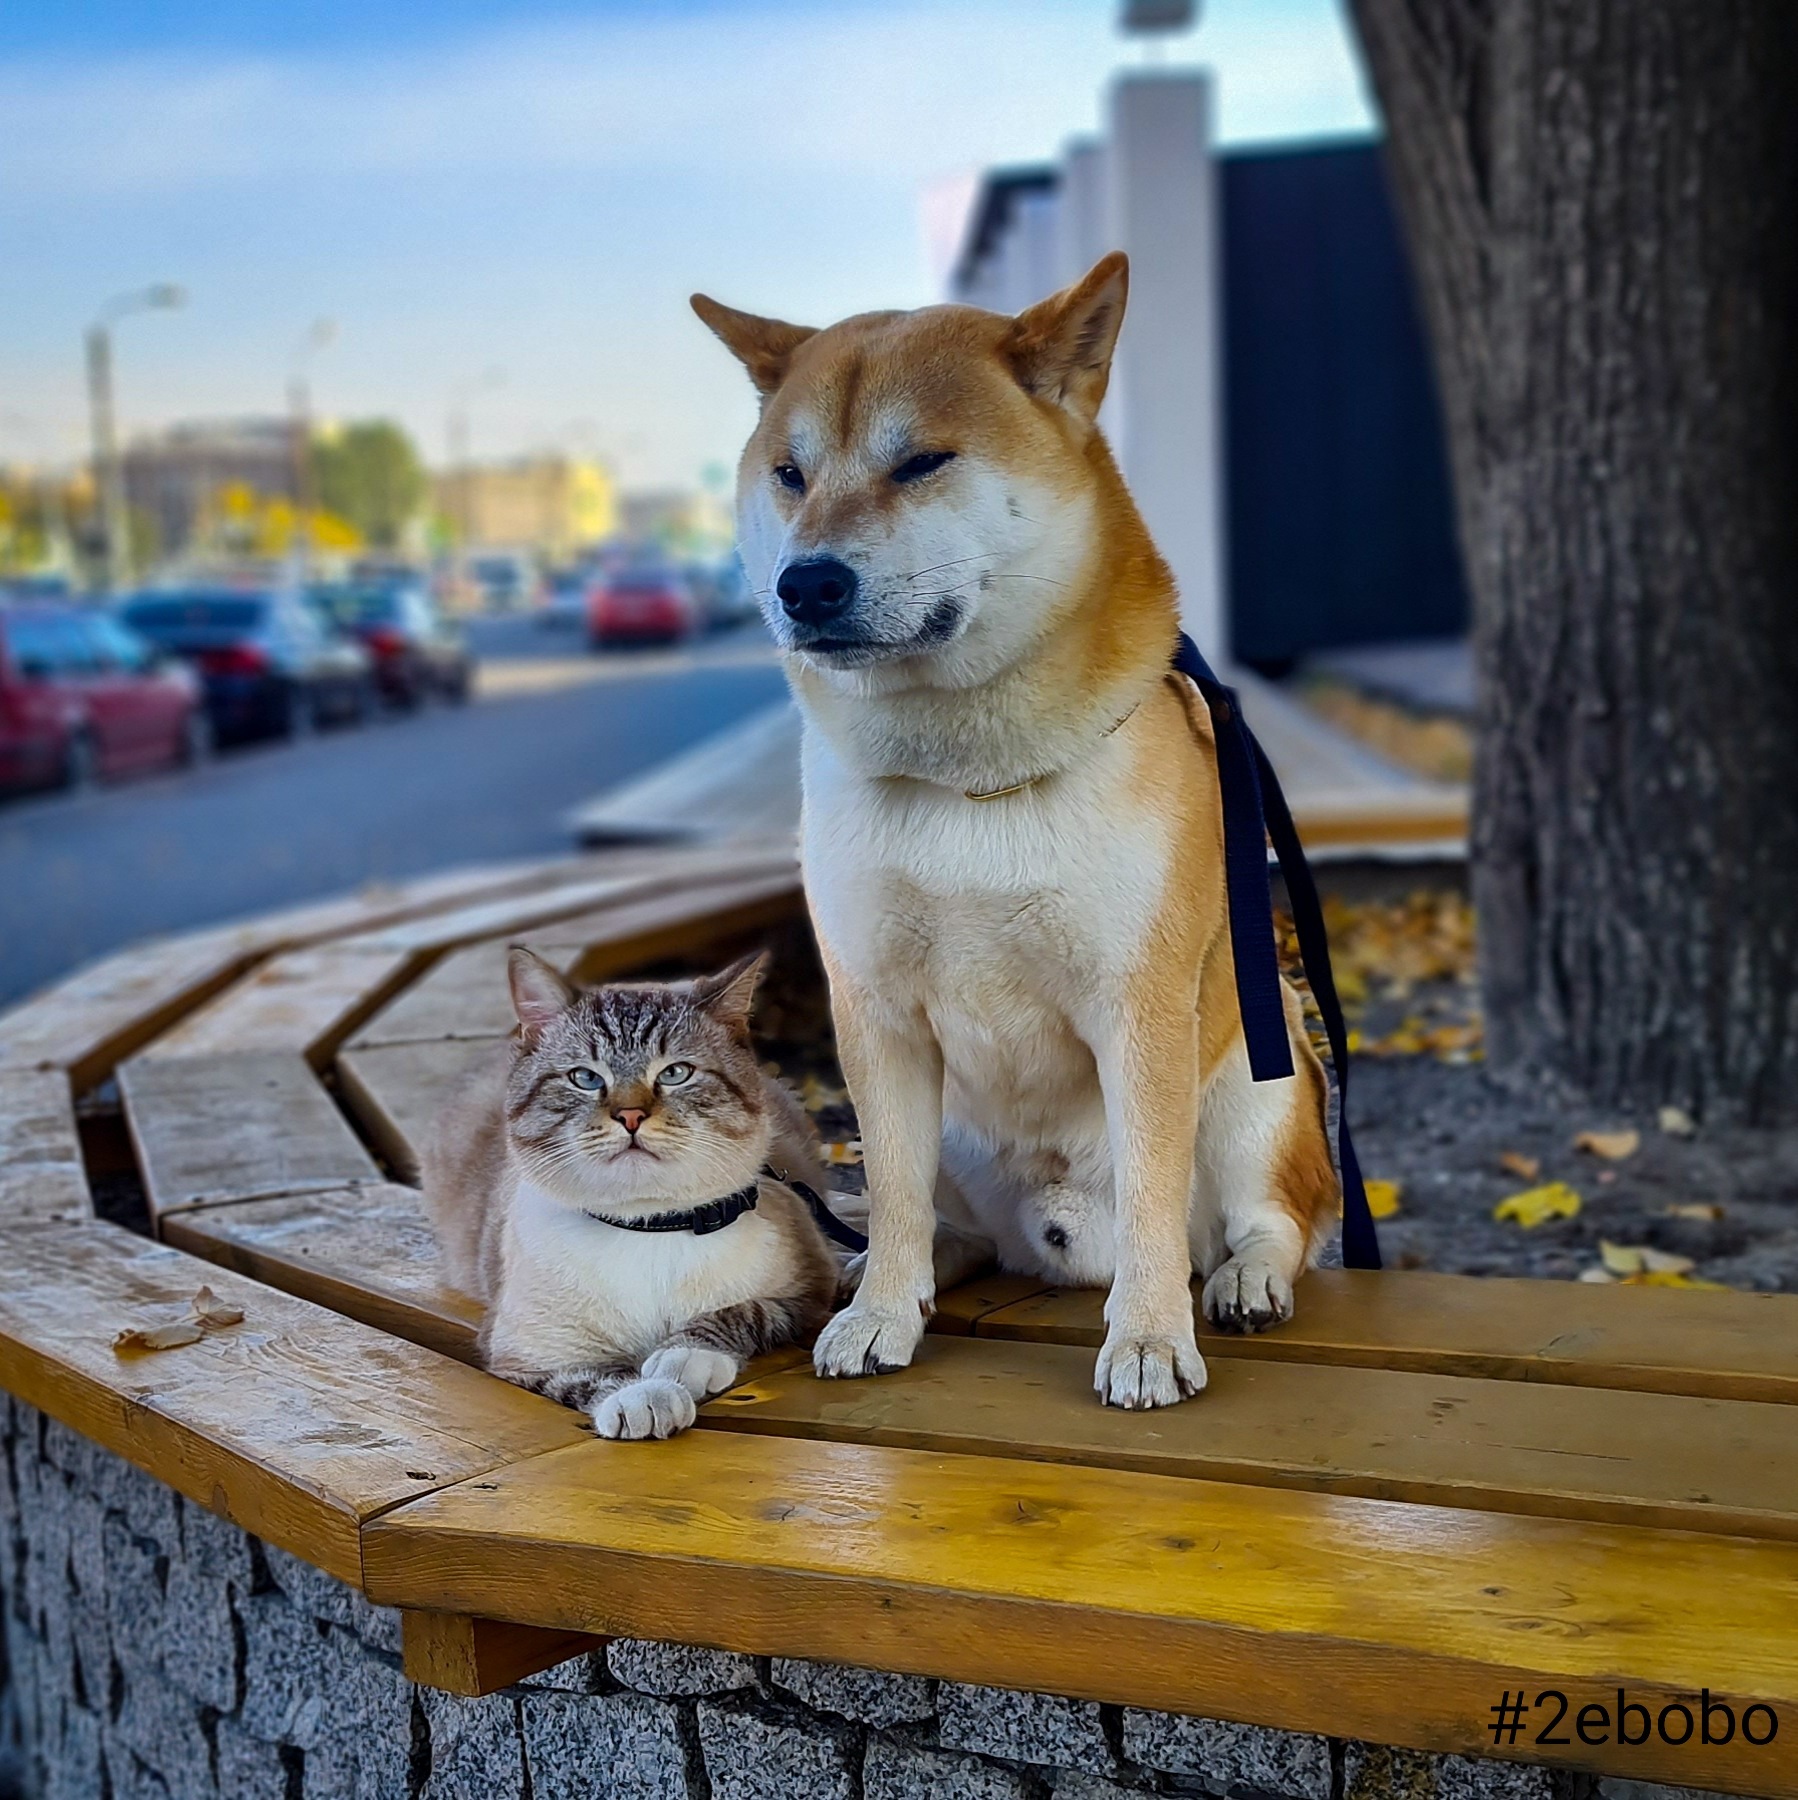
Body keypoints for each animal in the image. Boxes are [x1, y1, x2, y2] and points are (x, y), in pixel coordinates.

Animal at [424, 950, 838, 1440]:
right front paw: (645, 1396)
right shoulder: (523, 1356)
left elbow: (741, 1312)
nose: (631, 1116)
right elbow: (591, 1375)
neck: (648, 1229)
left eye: (675, 1073)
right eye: (585, 1078)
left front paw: (684, 1357)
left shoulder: (811, 1292)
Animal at [694, 253, 1346, 1404]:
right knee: (944, 1224)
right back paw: (900, 1273)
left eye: (920, 462)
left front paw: (1147, 1338)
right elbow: (893, 1192)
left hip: (1262, 1077)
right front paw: (880, 1311)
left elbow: (1151, 1196)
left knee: (1275, 1222)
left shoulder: (1140, 1006)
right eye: (789, 474)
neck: (964, 781)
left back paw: (1244, 1282)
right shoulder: (873, 1013)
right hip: (961, 1132)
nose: (804, 582)